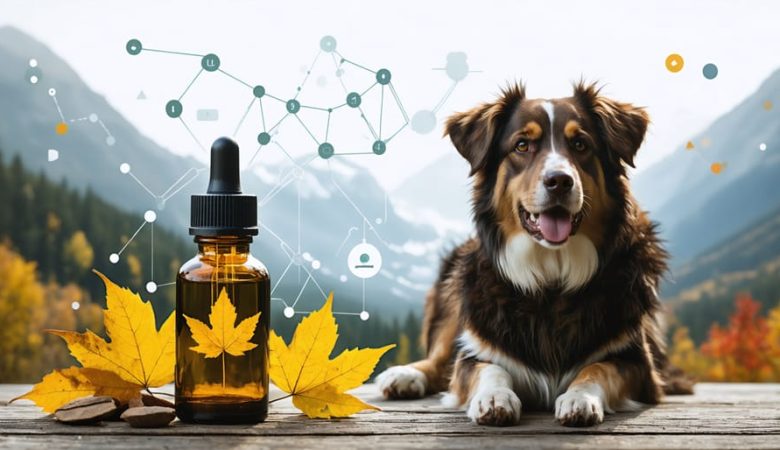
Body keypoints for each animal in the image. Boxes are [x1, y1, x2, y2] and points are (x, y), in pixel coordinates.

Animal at [376, 82, 688, 428]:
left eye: (580, 144)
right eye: (522, 145)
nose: (560, 181)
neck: (551, 278)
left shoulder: (636, 361)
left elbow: (597, 368)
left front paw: (580, 397)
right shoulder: (476, 349)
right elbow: (487, 367)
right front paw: (494, 397)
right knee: (441, 357)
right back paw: (405, 376)